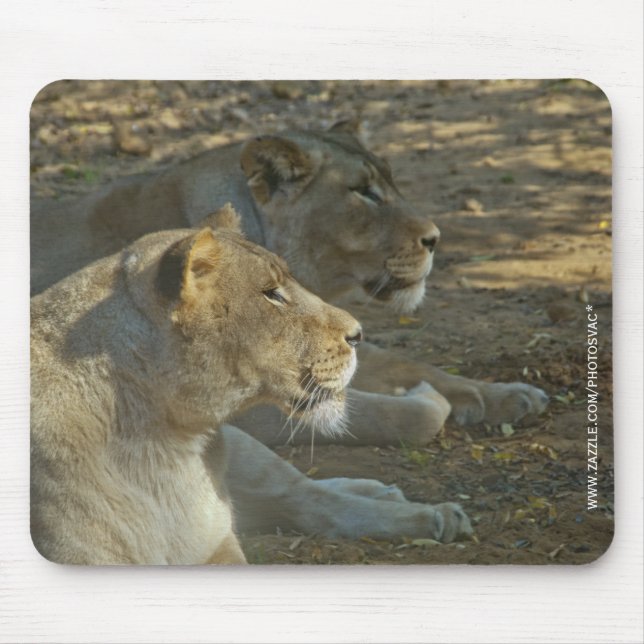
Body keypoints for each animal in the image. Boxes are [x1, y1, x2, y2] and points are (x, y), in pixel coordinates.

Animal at [31, 209, 472, 564]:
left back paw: (429, 512)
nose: (358, 334)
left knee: (305, 496)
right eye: (272, 294)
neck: (164, 450)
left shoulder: (220, 546)